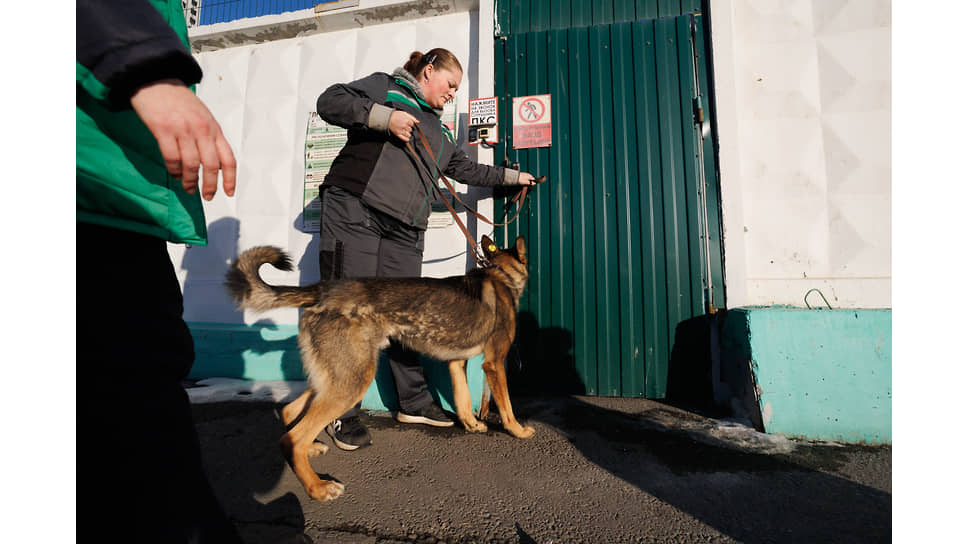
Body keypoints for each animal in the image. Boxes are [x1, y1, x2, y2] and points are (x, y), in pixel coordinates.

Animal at [225, 234, 536, 502]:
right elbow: (506, 406)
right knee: (293, 437)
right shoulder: (495, 363)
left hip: (334, 377)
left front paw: (472, 425)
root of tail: (324, 290)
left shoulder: (456, 363)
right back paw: (318, 488)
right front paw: (518, 431)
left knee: (290, 415)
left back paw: (311, 451)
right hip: (352, 381)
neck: (500, 273)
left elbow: (462, 399)